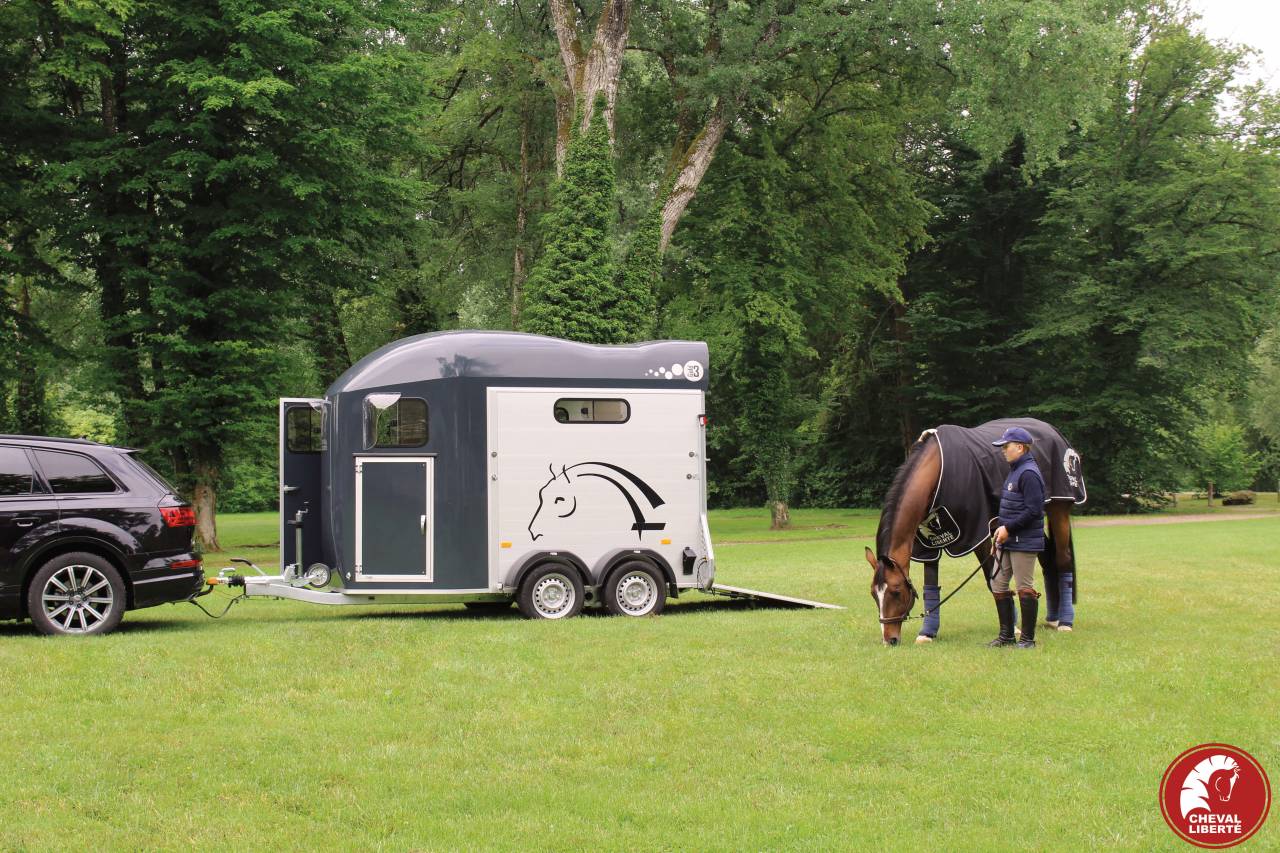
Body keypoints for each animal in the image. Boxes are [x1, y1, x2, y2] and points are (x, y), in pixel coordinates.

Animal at [864, 420, 1081, 645]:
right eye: (873, 594)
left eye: (896, 592)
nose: (889, 639)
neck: (937, 469)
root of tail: (1053, 431)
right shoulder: (929, 545)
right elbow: (930, 585)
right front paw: (927, 633)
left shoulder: (978, 534)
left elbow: (992, 580)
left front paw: (1013, 628)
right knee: (1047, 559)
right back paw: (1053, 618)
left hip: (1057, 509)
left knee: (1063, 559)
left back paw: (1065, 622)